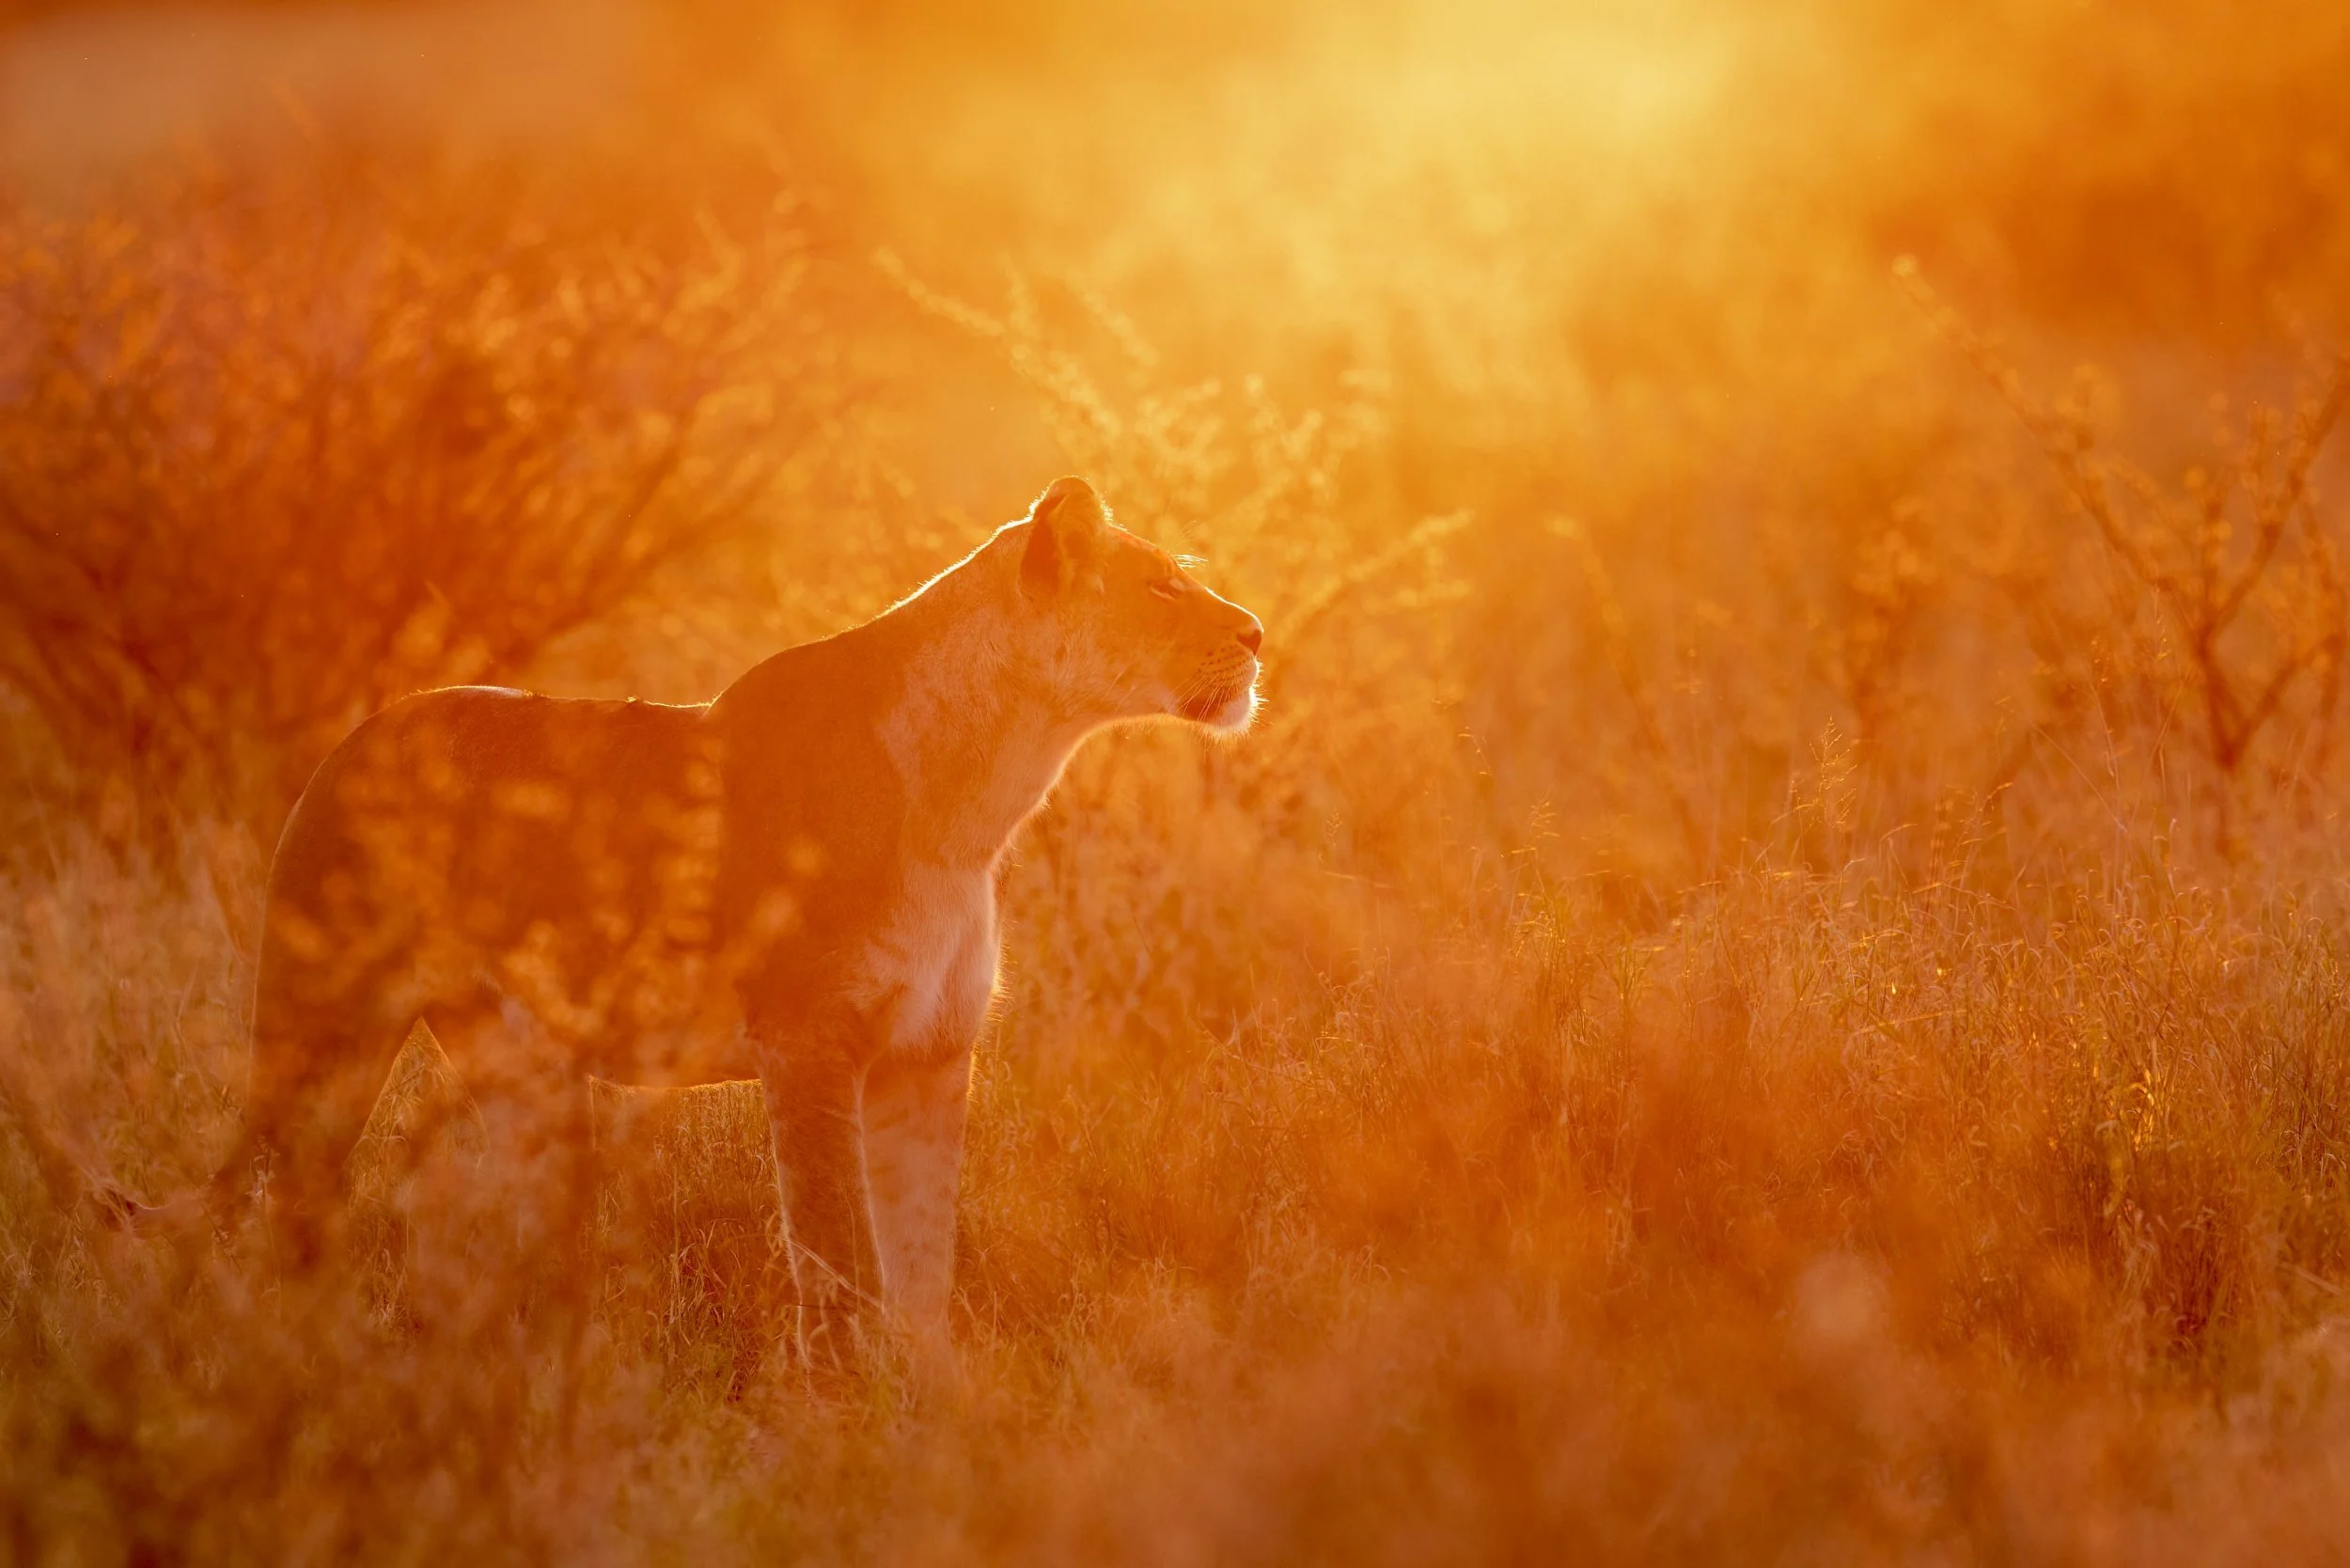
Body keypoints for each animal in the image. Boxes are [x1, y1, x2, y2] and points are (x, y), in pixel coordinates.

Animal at [165, 476, 1261, 1364]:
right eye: (1162, 586)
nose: (1255, 633)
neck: (977, 803)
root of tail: (354, 736)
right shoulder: (811, 1044)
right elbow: (841, 1263)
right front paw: (850, 1426)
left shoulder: (929, 1059)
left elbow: (921, 1277)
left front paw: (933, 1423)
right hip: (321, 1026)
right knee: (257, 1192)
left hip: (521, 1071)